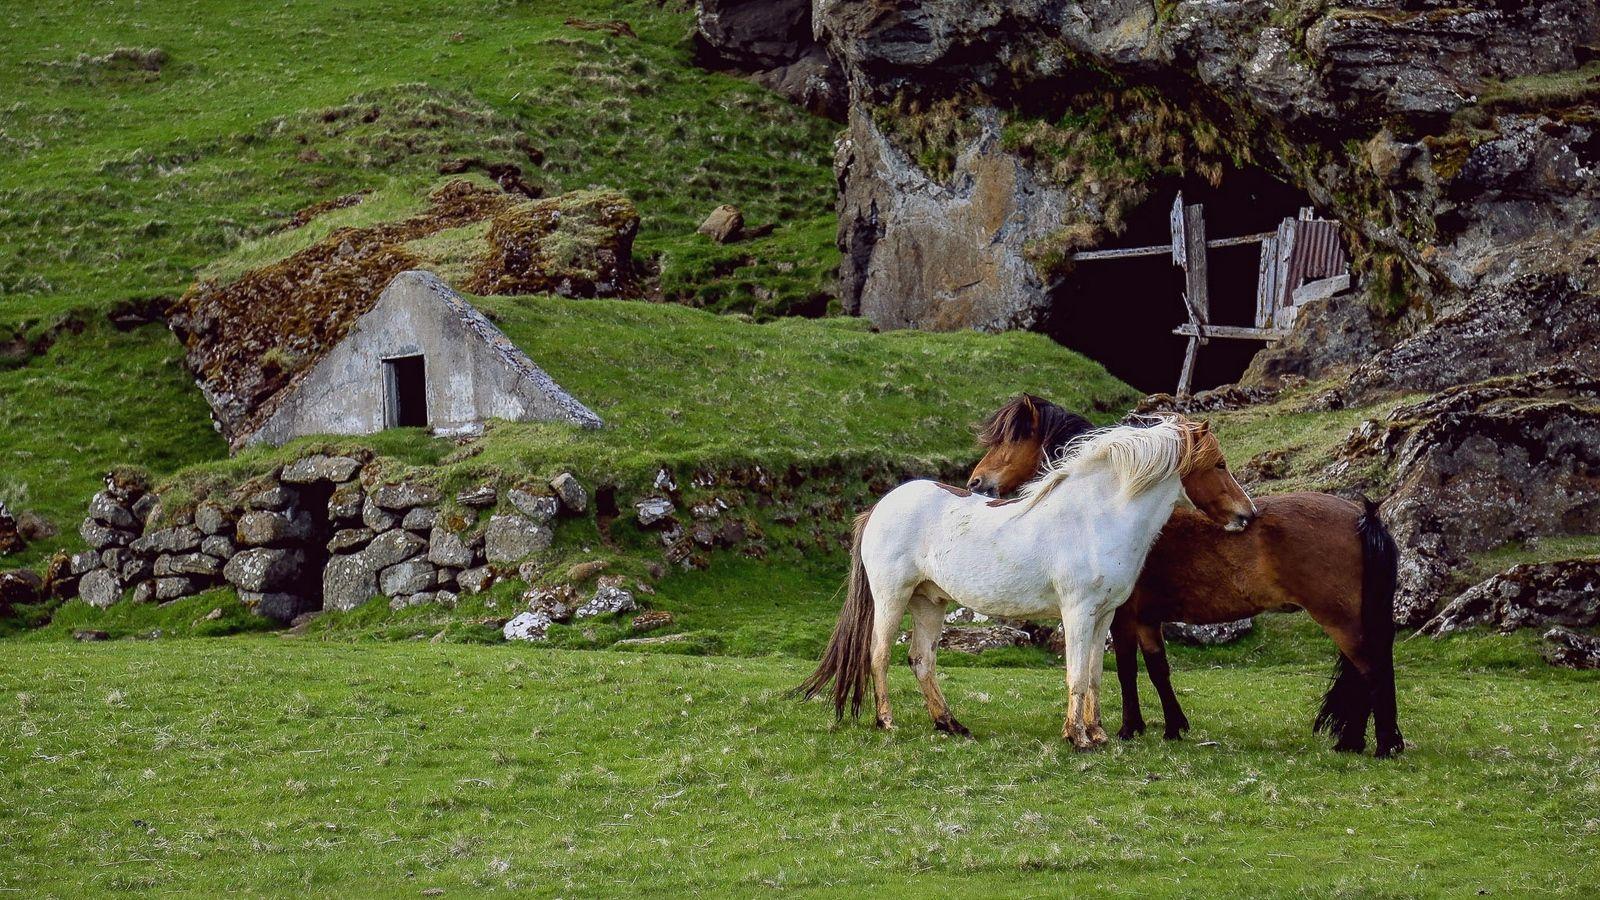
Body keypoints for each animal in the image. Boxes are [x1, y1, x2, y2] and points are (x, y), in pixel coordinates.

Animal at [796, 413, 1248, 743]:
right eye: (1219, 465)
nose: (1247, 514)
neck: (1096, 518)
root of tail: (879, 507)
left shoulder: (1103, 616)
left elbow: (1095, 675)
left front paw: (1098, 733)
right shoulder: (1078, 612)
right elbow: (1076, 675)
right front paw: (1077, 737)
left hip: (930, 601)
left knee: (922, 659)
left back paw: (951, 725)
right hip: (892, 597)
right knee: (879, 655)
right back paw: (887, 722)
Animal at [960, 395, 1401, 752]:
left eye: (1010, 440)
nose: (976, 482)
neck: (1115, 511)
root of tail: (1362, 514)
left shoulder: (1123, 616)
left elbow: (1126, 668)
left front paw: (1130, 728)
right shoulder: (1146, 618)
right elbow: (1157, 668)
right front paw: (1173, 727)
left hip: (1340, 619)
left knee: (1371, 669)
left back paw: (1381, 745)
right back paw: (1354, 741)